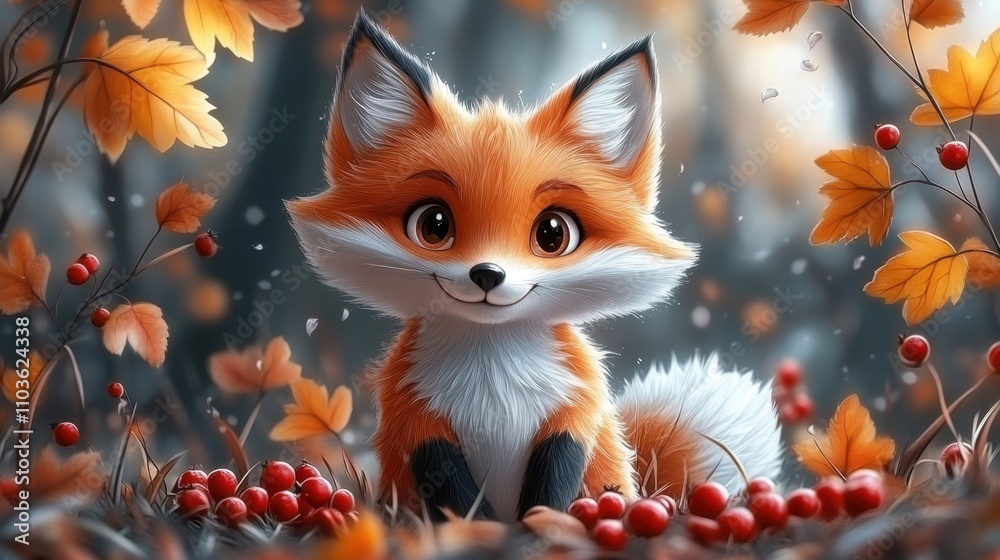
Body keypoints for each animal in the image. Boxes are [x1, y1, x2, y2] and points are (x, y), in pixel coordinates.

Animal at [287, 11, 782, 523]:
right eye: (433, 225)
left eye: (552, 233)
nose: (487, 274)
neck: (492, 374)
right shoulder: (414, 416)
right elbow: (459, 498)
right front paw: (479, 530)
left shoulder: (575, 407)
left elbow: (553, 481)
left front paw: (542, 524)